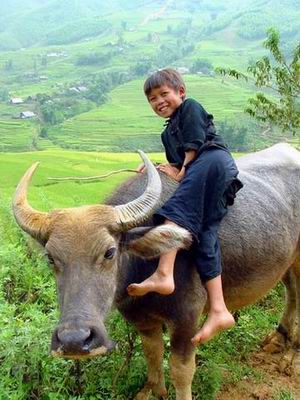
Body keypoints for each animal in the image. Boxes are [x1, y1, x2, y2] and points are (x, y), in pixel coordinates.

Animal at [13, 145, 300, 400]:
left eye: (109, 252)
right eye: (51, 258)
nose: (74, 340)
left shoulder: (186, 317)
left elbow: (181, 370)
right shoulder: (142, 319)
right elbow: (153, 353)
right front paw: (154, 391)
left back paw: (292, 356)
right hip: (286, 258)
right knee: (292, 289)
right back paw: (279, 338)